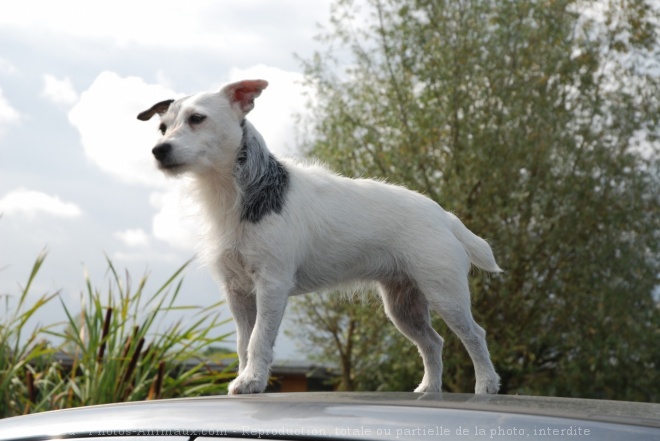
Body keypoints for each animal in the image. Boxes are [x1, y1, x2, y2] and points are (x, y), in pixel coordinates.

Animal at [138, 80, 500, 396]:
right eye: (162, 127)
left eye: (197, 119)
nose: (158, 150)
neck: (236, 193)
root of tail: (444, 216)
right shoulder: (237, 291)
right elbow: (243, 342)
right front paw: (245, 376)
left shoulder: (272, 285)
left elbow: (258, 339)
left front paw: (252, 380)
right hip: (403, 305)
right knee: (432, 342)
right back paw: (430, 387)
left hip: (446, 294)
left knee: (475, 335)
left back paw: (486, 385)